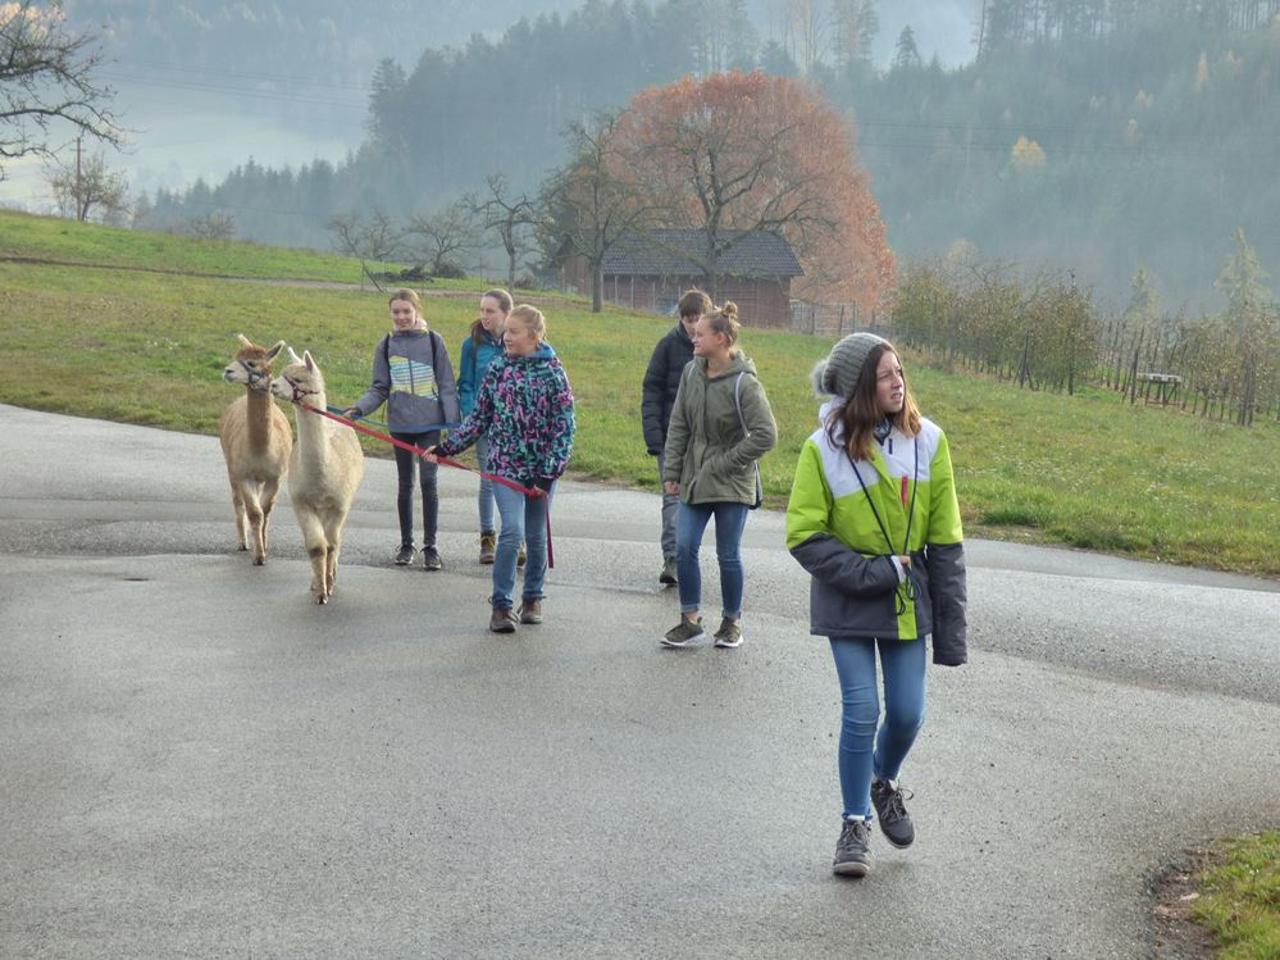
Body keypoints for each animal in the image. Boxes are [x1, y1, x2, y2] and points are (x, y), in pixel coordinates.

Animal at [219, 335, 292, 565]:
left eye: (252, 363)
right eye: (237, 356)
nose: (227, 371)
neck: (261, 451)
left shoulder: (276, 476)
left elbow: (265, 510)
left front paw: (264, 546)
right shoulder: (244, 474)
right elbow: (254, 512)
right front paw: (258, 556)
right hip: (231, 465)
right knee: (237, 501)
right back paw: (243, 542)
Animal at [270, 348, 365, 604]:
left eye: (298, 379)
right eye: (282, 373)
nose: (272, 385)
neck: (323, 477)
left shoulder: (339, 505)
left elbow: (331, 545)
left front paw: (329, 585)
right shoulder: (301, 502)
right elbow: (315, 546)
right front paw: (319, 590)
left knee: (336, 541)